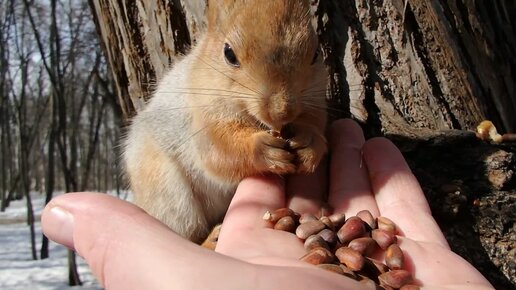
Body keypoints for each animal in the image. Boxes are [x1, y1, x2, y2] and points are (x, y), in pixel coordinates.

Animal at [123, 0, 328, 242]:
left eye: (316, 53)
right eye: (228, 53)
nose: (281, 113)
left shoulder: (315, 98)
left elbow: (315, 121)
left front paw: (308, 141)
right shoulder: (202, 117)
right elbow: (218, 151)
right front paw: (261, 148)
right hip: (164, 188)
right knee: (189, 233)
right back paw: (212, 238)